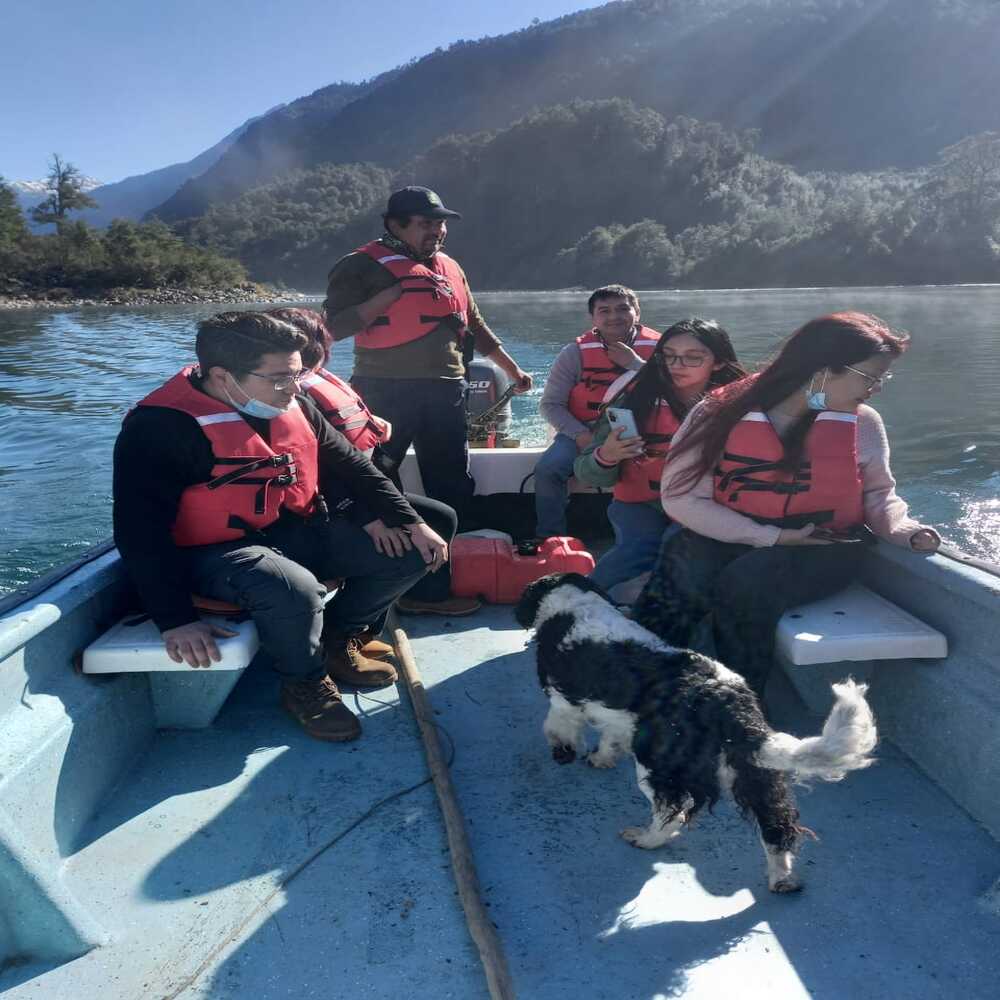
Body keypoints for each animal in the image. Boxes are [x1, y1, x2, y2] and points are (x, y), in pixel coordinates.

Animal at [516, 572, 876, 892]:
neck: (572, 603)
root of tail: (728, 701)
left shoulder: (562, 699)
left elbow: (558, 727)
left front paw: (564, 751)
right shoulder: (620, 722)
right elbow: (609, 738)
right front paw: (601, 758)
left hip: (659, 765)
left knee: (672, 813)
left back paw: (644, 838)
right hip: (754, 770)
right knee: (777, 824)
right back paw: (783, 879)